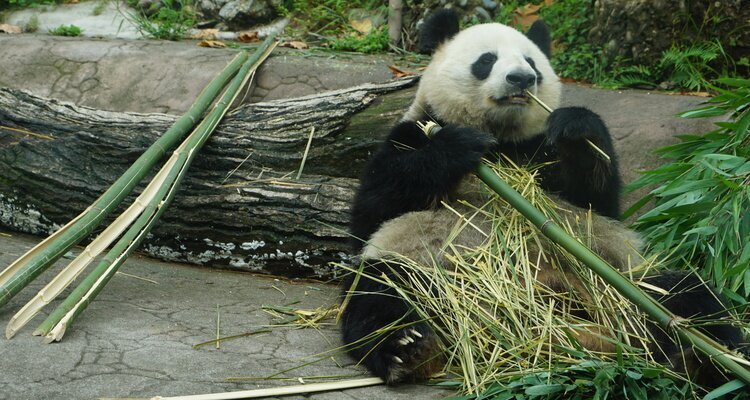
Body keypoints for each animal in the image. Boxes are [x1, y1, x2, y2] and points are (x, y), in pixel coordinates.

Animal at [340, 9, 745, 387]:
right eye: (486, 60)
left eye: (532, 62)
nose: (522, 78)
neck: (502, 139)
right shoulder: (411, 133)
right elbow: (375, 206)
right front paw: (458, 146)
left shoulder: (539, 153)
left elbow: (597, 200)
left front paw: (577, 128)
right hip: (423, 268)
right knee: (382, 295)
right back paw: (410, 348)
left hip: (622, 280)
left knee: (687, 293)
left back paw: (711, 357)